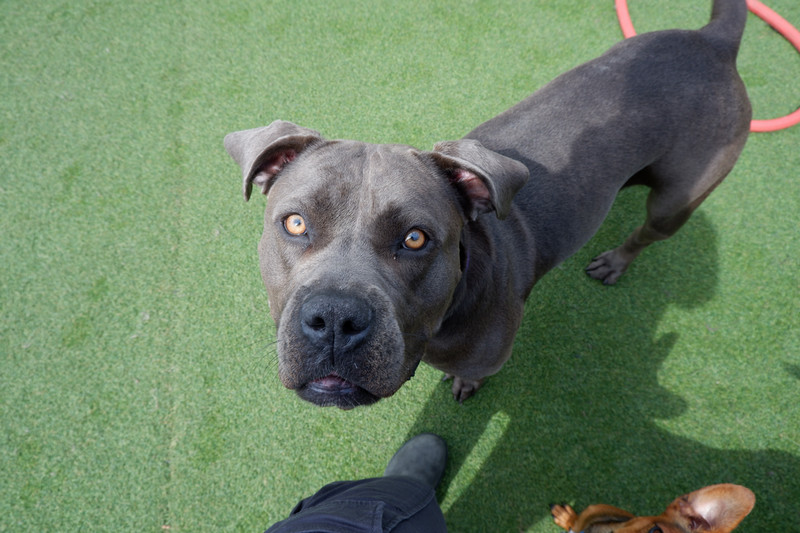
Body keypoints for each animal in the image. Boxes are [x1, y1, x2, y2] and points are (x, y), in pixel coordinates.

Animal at [223, 0, 752, 408]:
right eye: (295, 224)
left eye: (415, 239)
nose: (335, 319)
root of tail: (714, 41)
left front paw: (464, 383)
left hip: (677, 201)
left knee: (647, 231)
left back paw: (615, 262)